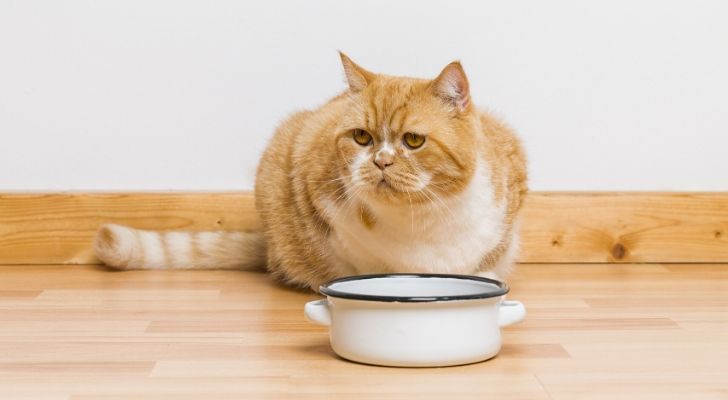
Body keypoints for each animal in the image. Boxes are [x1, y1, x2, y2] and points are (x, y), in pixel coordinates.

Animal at [96, 52, 528, 290]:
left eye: (414, 141)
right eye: (361, 137)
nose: (381, 161)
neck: (420, 219)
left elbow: (487, 265)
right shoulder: (302, 159)